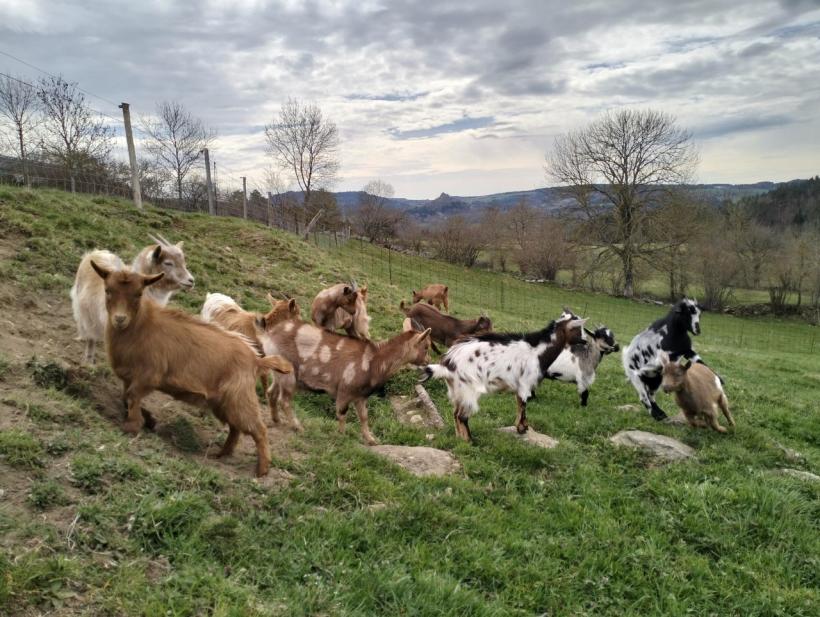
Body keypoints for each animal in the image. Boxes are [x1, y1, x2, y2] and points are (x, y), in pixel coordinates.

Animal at [71, 233, 195, 364]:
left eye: (184, 262)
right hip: (84, 312)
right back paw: (88, 361)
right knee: (90, 337)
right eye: (168, 263)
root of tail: (95, 252)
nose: (191, 280)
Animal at [91, 262, 292, 476]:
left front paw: (133, 426)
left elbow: (132, 396)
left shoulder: (149, 375)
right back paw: (222, 454)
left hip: (240, 399)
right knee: (235, 428)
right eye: (108, 290)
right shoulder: (130, 377)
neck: (141, 326)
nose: (120, 319)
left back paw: (262, 469)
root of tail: (255, 360)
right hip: (223, 403)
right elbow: (126, 397)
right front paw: (147, 419)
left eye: (138, 294)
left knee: (258, 429)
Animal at [266, 300, 432, 446]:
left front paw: (371, 440)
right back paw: (298, 427)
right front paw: (342, 435)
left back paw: (276, 420)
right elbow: (342, 413)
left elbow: (364, 417)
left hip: (278, 373)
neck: (374, 361)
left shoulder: (360, 396)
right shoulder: (345, 390)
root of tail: (270, 336)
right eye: (426, 346)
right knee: (284, 400)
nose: (427, 362)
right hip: (288, 374)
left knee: (270, 392)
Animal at [422, 312, 588, 438]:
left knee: (455, 413)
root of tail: (447, 363)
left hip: (456, 390)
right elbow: (523, 406)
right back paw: (470, 441)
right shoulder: (525, 384)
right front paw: (522, 428)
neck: (537, 351)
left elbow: (519, 404)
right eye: (578, 329)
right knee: (462, 416)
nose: (586, 341)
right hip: (468, 389)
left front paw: (523, 427)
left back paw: (460, 438)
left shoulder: (519, 386)